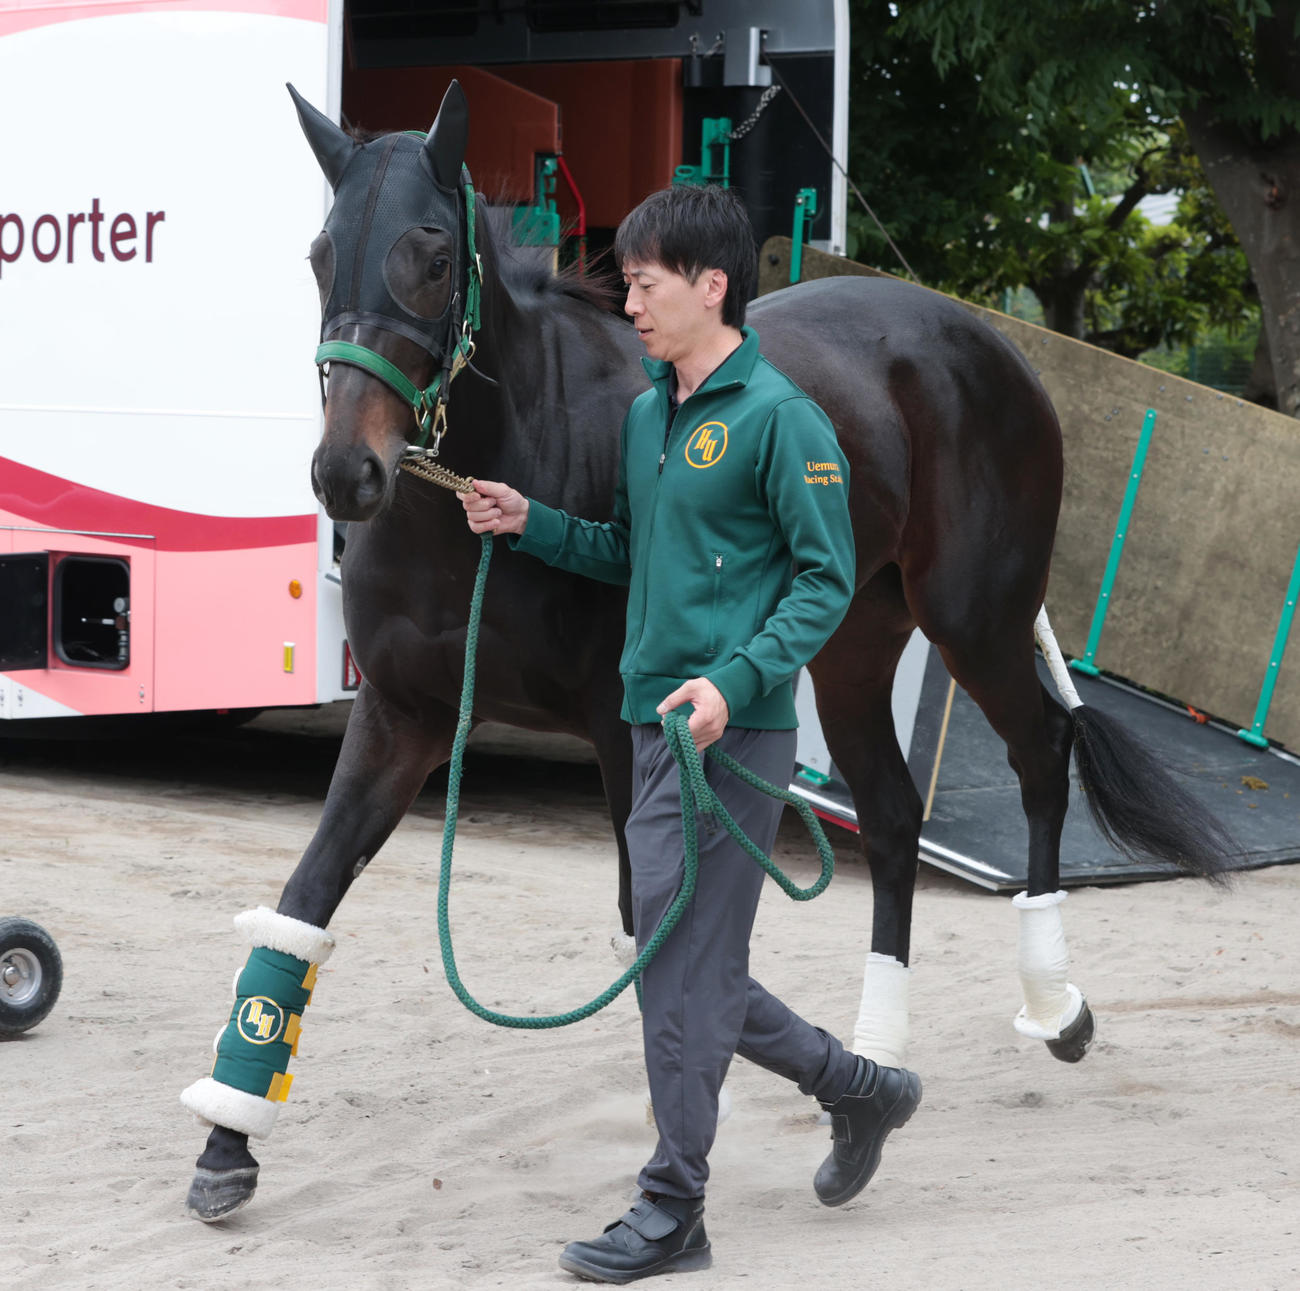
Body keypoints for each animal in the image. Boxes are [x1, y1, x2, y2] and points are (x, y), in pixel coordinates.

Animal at [180, 81, 1233, 1221]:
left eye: (430, 251)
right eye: (321, 253)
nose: (346, 473)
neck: (491, 492)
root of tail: (975, 335)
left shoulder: (624, 730)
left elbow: (660, 928)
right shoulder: (401, 718)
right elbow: (304, 901)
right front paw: (227, 1143)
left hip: (978, 622)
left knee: (1043, 757)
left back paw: (1055, 1007)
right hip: (852, 651)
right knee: (894, 816)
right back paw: (880, 1052)